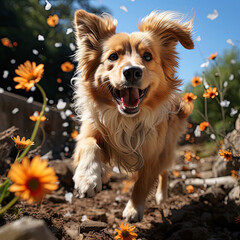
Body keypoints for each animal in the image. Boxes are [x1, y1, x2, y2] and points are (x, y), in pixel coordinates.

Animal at [72, 9, 194, 223]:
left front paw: (133, 209)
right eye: (113, 56)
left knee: (165, 169)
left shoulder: (153, 153)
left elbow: (142, 183)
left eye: (147, 56)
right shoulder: (90, 130)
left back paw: (162, 195)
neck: (127, 119)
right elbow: (89, 145)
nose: (132, 71)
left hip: (167, 143)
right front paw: (87, 178)